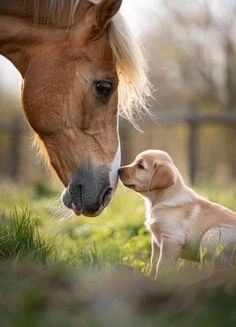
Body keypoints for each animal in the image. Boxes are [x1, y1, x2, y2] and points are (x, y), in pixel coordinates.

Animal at [119, 151, 236, 280]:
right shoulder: (156, 241)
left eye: (140, 166)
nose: (118, 170)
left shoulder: (171, 239)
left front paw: (160, 281)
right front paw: (150, 278)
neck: (160, 199)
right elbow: (154, 261)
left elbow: (162, 264)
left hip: (211, 236)